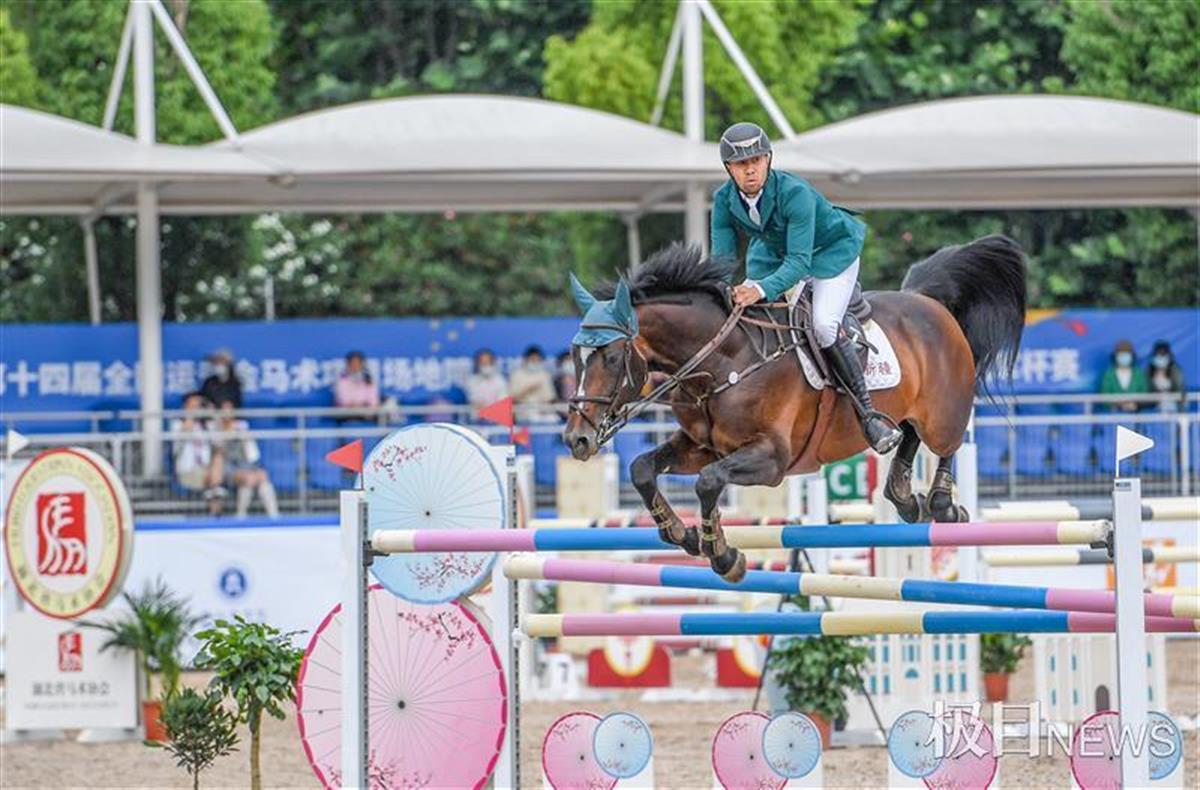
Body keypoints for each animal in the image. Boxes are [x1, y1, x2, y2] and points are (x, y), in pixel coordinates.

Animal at [561, 234, 1022, 578]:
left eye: (612, 358)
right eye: (575, 356)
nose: (577, 439)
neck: (723, 359)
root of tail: (927, 301)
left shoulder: (771, 459)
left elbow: (708, 482)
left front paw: (722, 555)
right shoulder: (703, 446)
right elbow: (642, 469)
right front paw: (685, 536)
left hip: (943, 410)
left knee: (947, 441)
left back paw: (942, 503)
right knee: (906, 435)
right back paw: (906, 497)